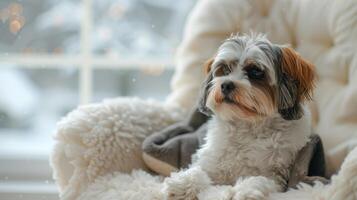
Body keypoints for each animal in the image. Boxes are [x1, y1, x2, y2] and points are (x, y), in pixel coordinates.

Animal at [161, 34, 314, 200]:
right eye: (225, 69)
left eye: (255, 71)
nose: (226, 85)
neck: (248, 124)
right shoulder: (211, 161)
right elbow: (198, 170)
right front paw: (183, 183)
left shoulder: (277, 175)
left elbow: (259, 180)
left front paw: (246, 191)